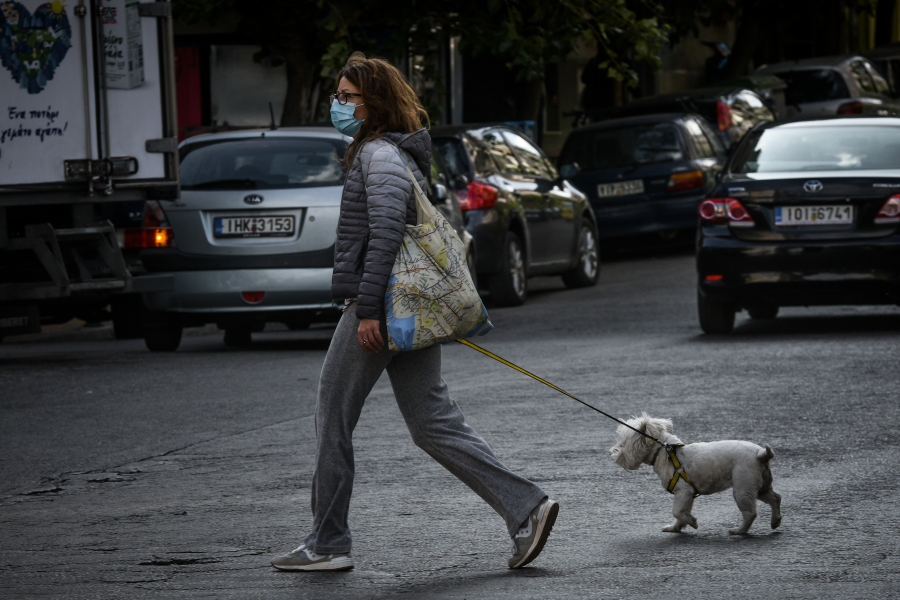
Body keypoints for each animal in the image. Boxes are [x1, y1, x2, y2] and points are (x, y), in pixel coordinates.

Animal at [608, 412, 784, 536]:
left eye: (623, 444)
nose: (612, 453)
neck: (664, 452)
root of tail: (760, 455)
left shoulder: (683, 491)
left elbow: (676, 511)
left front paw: (692, 522)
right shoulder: (688, 494)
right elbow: (680, 513)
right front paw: (675, 527)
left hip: (743, 487)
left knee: (750, 513)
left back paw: (739, 530)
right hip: (760, 486)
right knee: (775, 498)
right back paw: (775, 521)